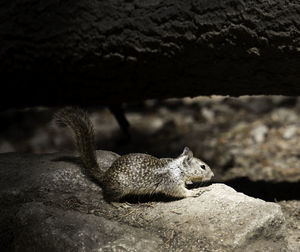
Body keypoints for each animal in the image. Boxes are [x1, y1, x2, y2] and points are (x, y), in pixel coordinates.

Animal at [54, 107, 213, 202]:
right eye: (203, 166)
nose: (212, 175)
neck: (177, 167)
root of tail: (105, 176)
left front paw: (190, 183)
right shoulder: (171, 181)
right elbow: (178, 192)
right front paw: (193, 192)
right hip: (120, 188)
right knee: (108, 198)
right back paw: (120, 205)